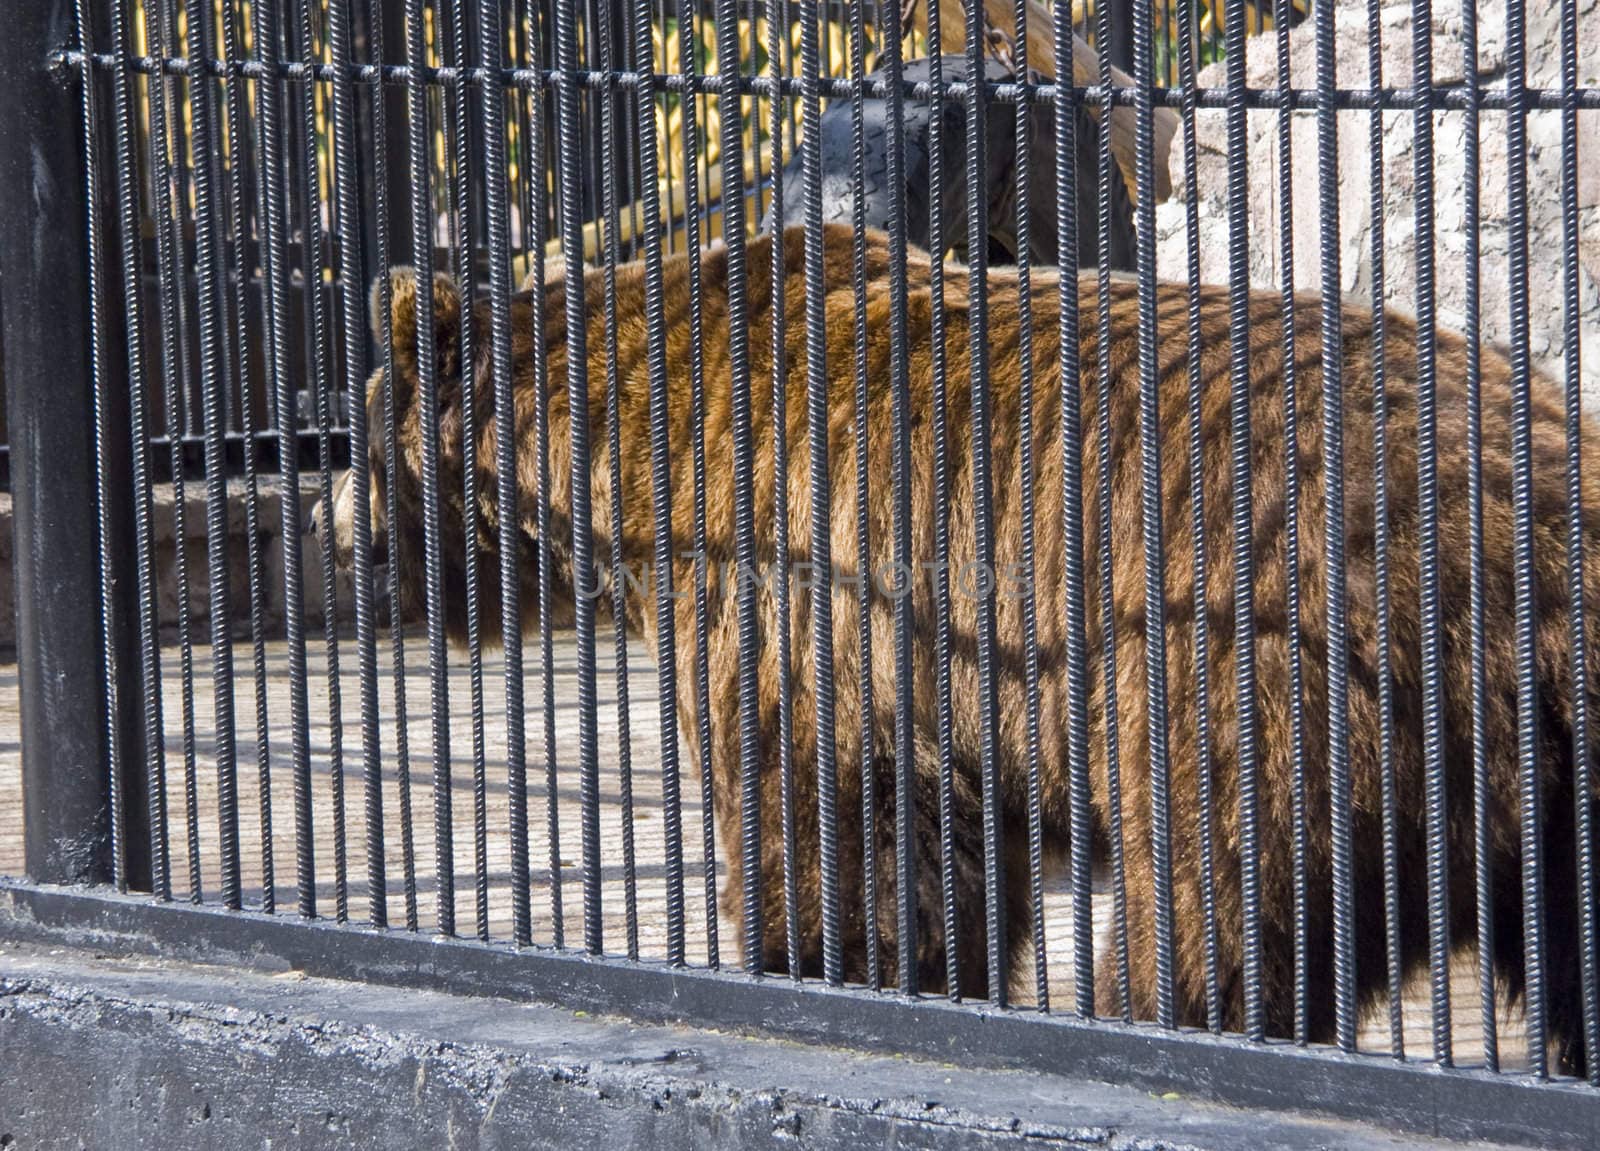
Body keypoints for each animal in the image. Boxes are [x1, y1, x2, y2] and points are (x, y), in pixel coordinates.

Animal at [321, 227, 1600, 1082]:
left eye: (360, 441)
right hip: (1548, 793)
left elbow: (833, 827)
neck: (617, 467)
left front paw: (818, 961)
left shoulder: (805, 588)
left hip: (1270, 689)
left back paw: (1144, 1017)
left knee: (1214, 905)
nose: (331, 531)